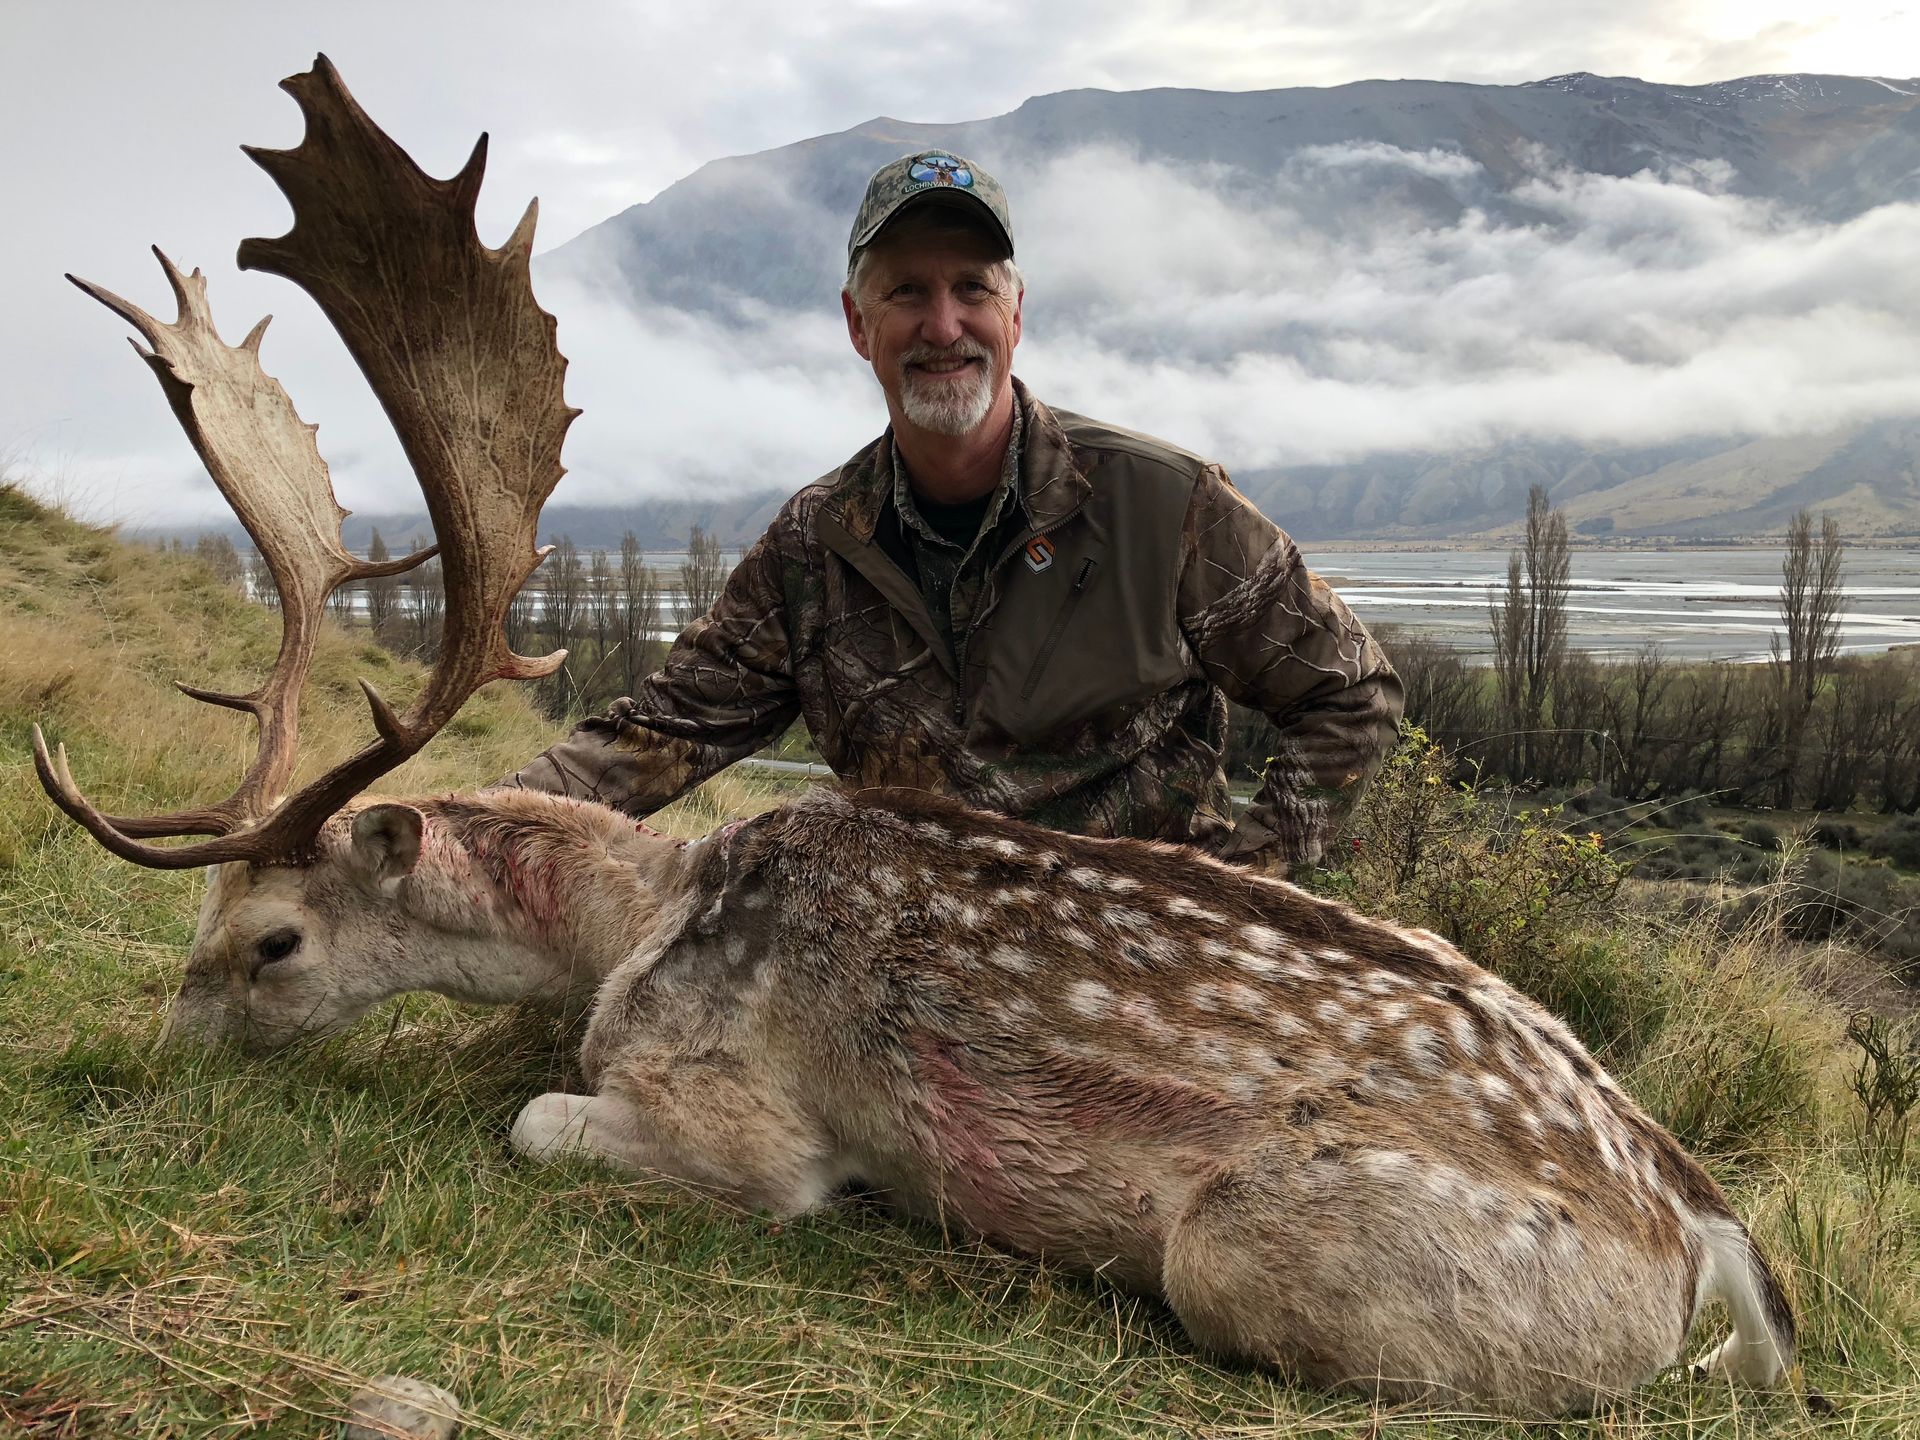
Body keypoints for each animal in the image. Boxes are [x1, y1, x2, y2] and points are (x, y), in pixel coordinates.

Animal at [32, 56, 1797, 1417]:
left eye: (268, 941)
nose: (153, 1050)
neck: (637, 925)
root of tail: (1717, 1240)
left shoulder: (742, 1120)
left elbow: (542, 1121)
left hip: (1259, 1250)